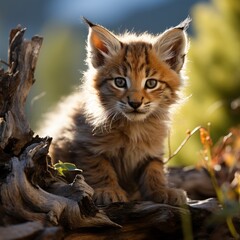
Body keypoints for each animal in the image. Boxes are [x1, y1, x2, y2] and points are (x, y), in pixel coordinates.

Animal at [41, 17, 191, 205]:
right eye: (120, 82)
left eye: (151, 83)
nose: (135, 103)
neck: (134, 127)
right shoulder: (86, 145)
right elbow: (99, 167)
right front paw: (108, 190)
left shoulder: (153, 149)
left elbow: (154, 168)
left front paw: (162, 190)